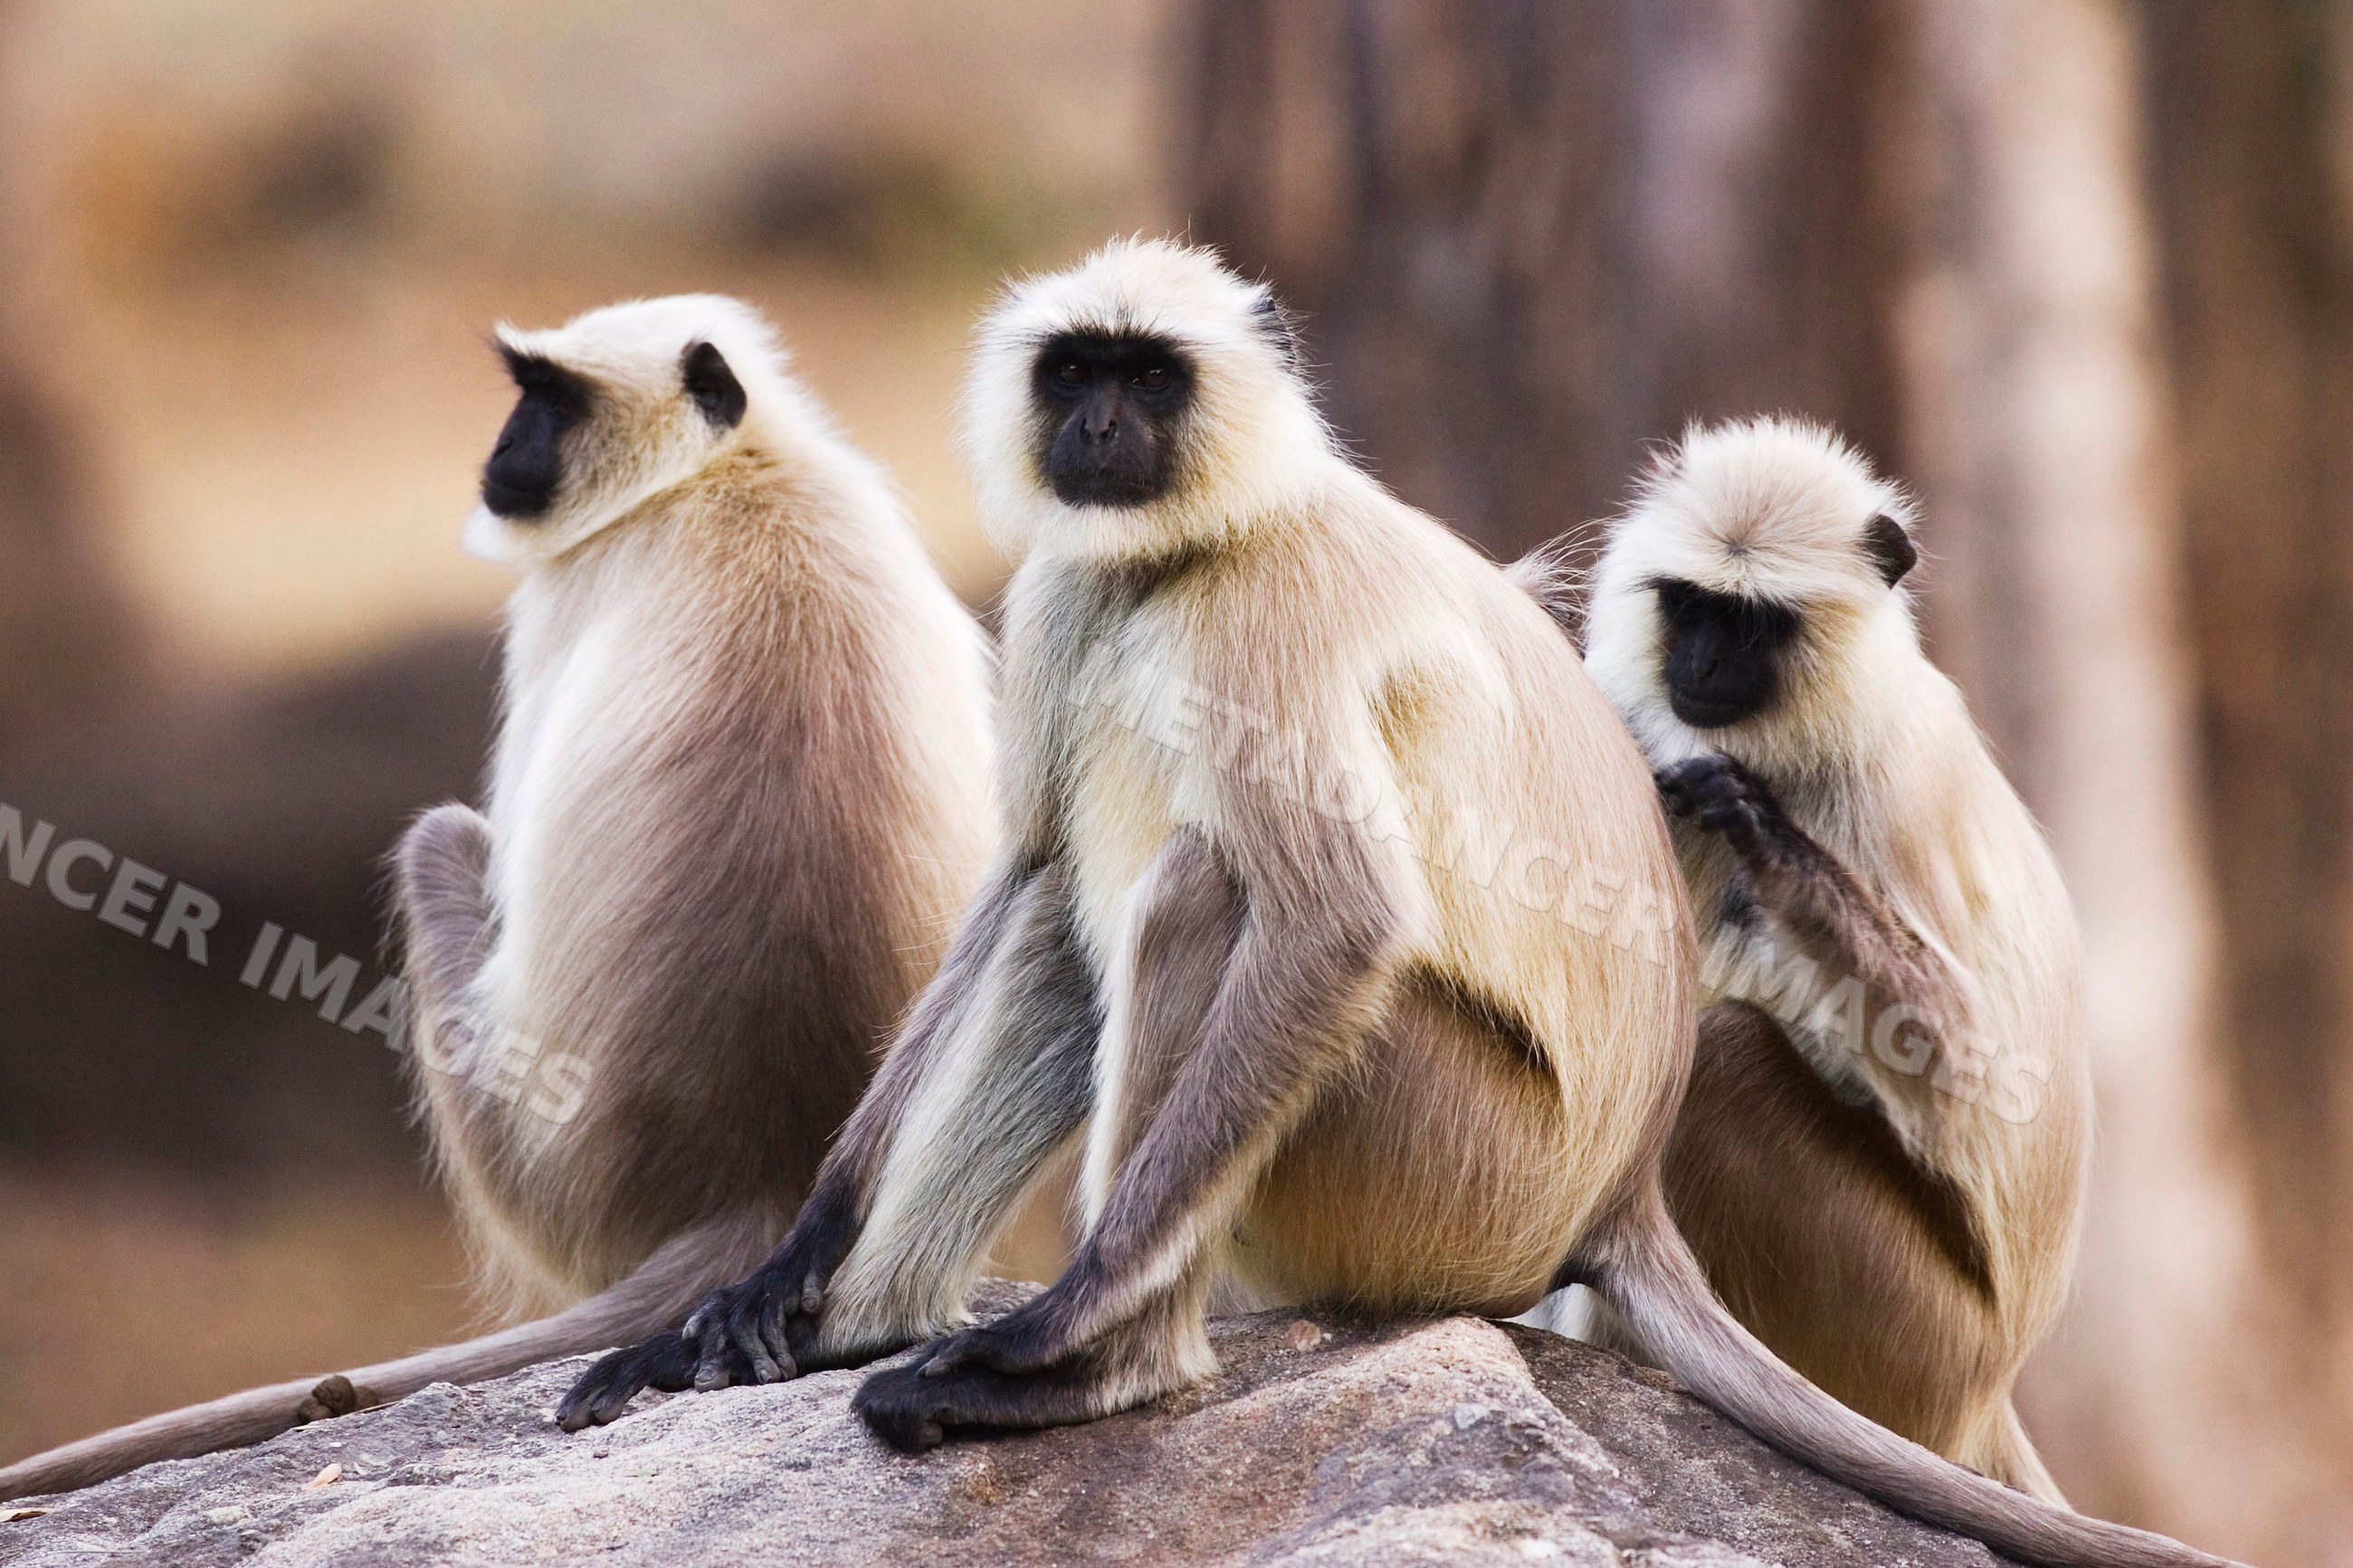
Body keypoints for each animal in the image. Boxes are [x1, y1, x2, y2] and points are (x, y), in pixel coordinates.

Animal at [0, 294, 997, 1503]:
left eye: (549, 397)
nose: (501, 447)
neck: (731, 472)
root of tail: (759, 1175)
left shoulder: (561, 599)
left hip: (536, 1164)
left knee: (442, 838)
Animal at [1527, 415, 2091, 1502]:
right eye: (1691, 605)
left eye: (1752, 625)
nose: (1700, 666)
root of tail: (1988, 1391)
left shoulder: (1889, 778)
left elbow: (1969, 1063)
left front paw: (1755, 823)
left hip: (1912, 1333)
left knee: (1726, 1058)